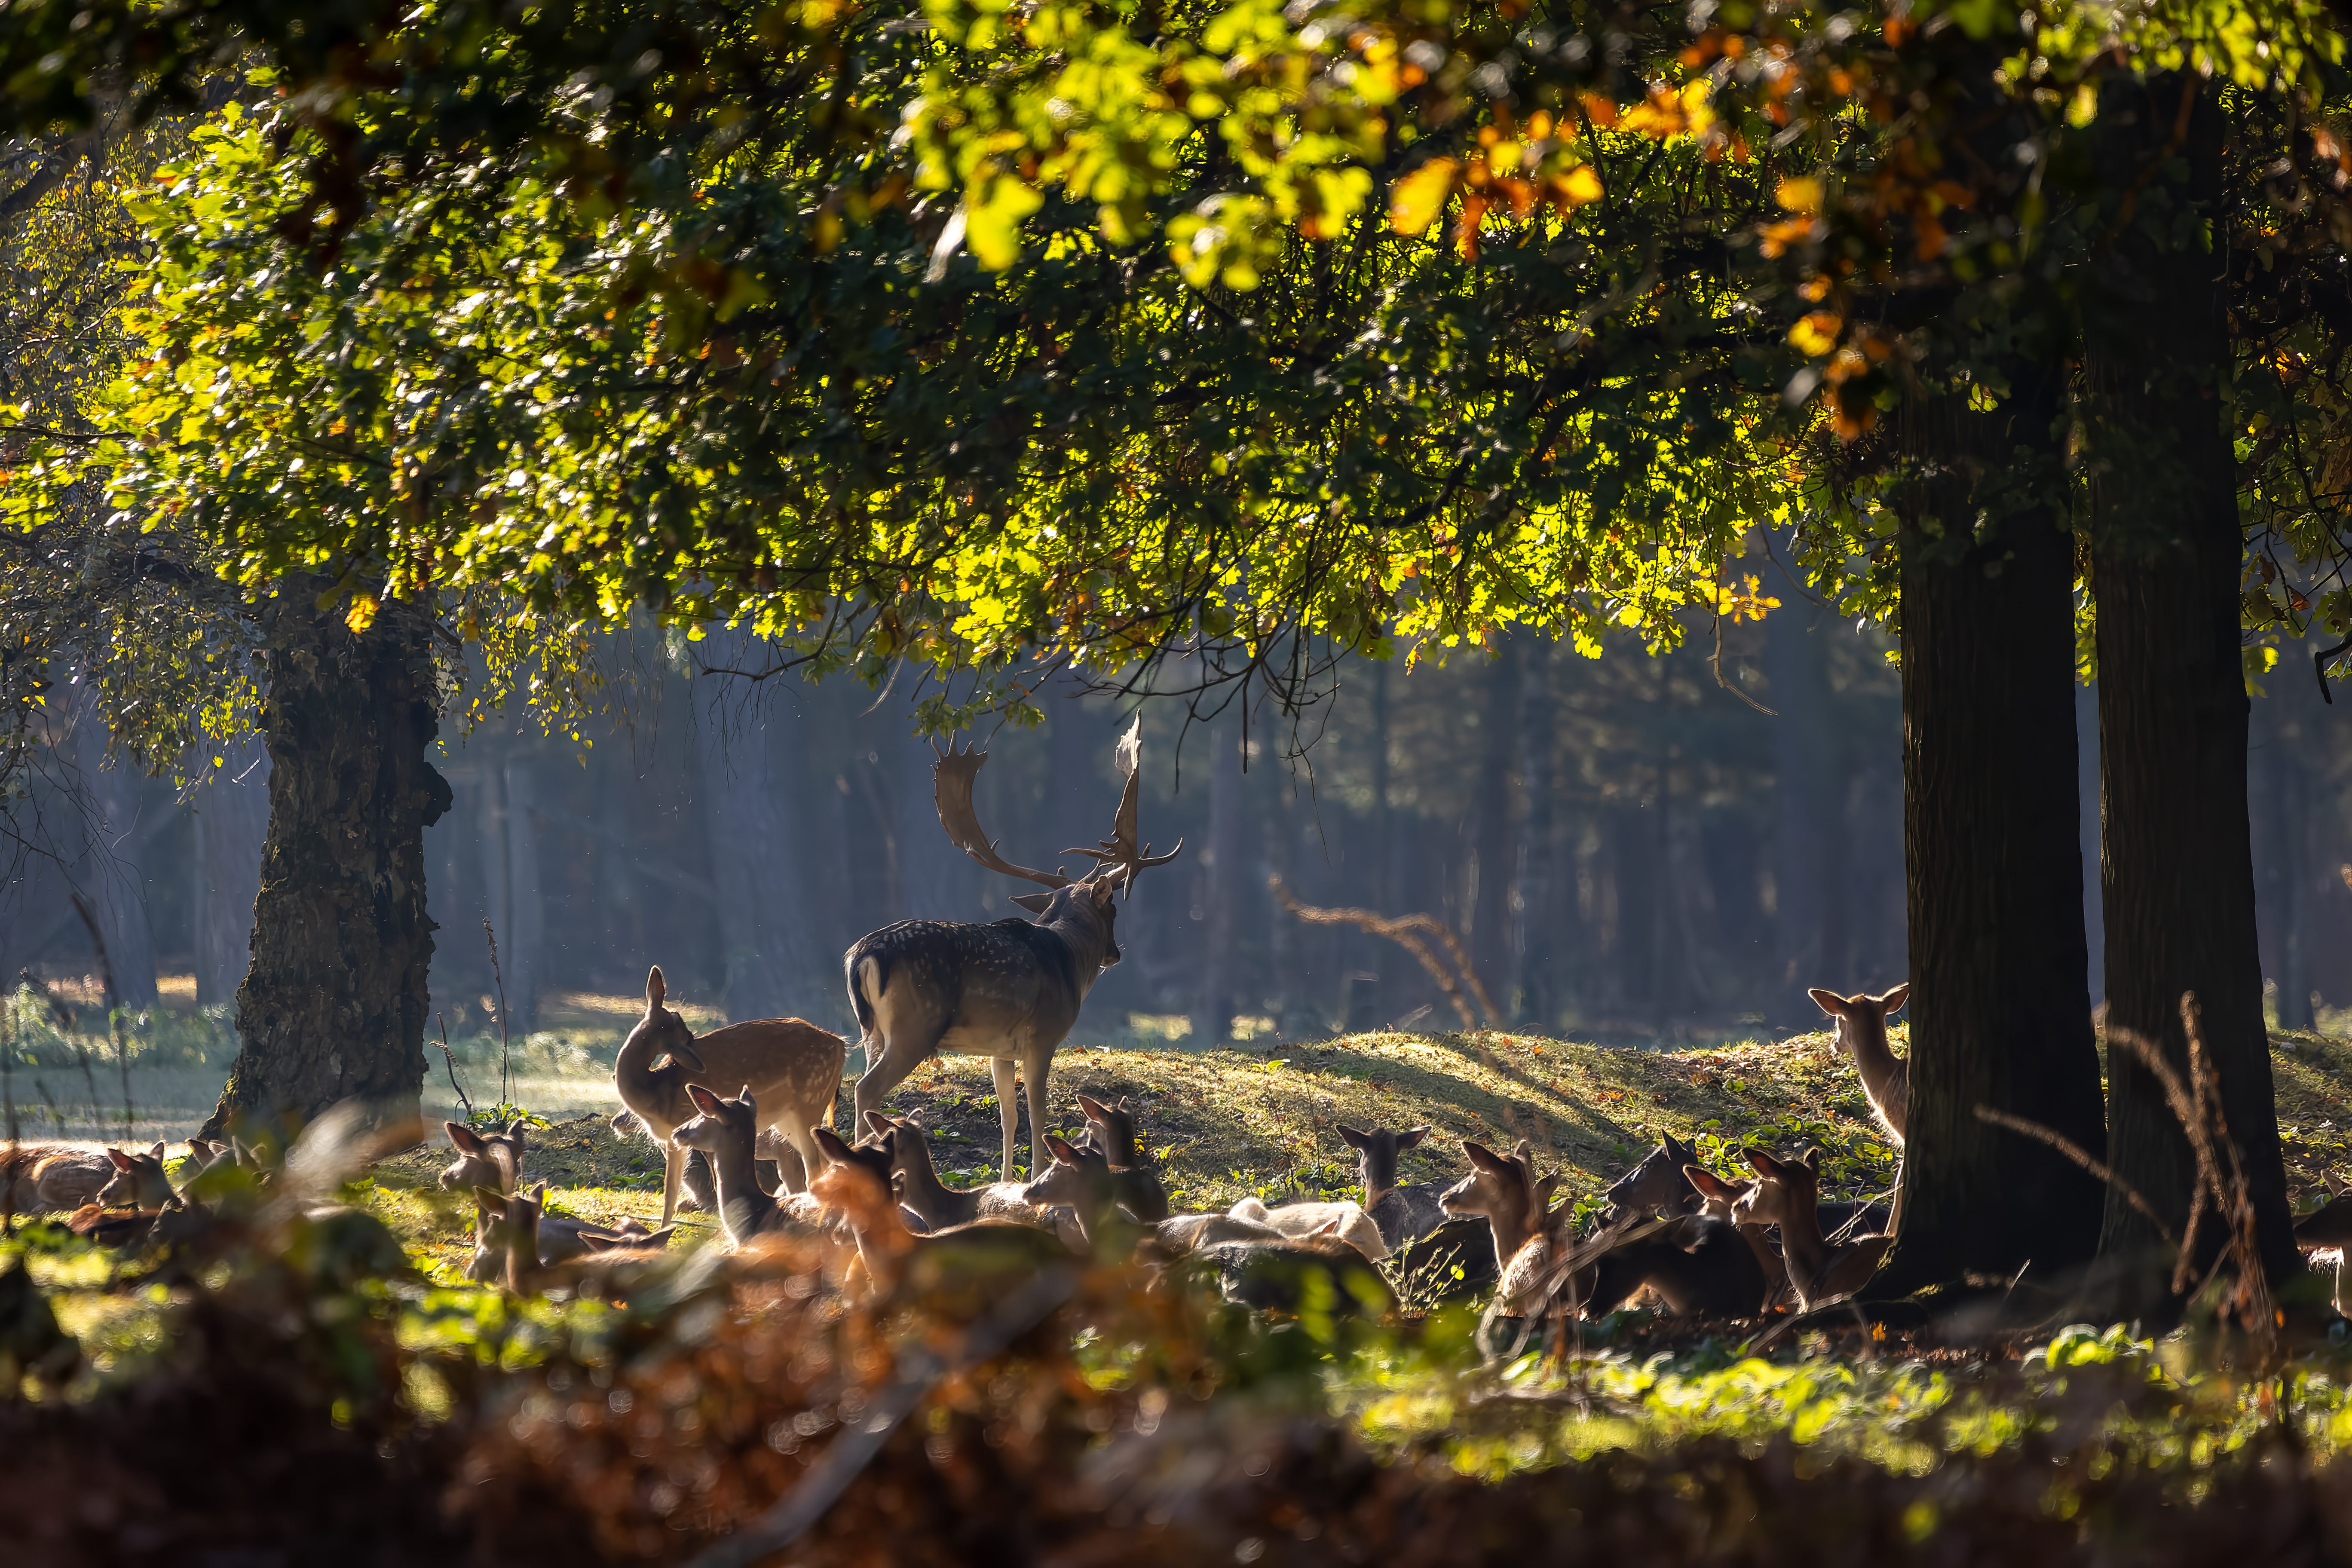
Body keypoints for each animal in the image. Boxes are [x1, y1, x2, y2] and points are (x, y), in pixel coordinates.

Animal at [612, 965, 847, 1227]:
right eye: (678, 1018)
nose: (692, 1037)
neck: (655, 1096)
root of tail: (842, 1046)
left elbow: (713, 1185)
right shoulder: (672, 1140)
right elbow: (670, 1194)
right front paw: (662, 1231)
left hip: (810, 1102)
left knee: (815, 1172)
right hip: (788, 1120)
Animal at [845, 717, 1180, 1186]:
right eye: (1112, 908)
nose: (1115, 954)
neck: (1069, 961)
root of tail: (862, 956)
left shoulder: (999, 1049)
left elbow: (1008, 1115)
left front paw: (1005, 1182)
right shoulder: (1042, 1036)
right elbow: (1038, 1114)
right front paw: (1038, 1176)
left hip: (872, 1030)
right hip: (915, 1026)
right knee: (866, 1089)